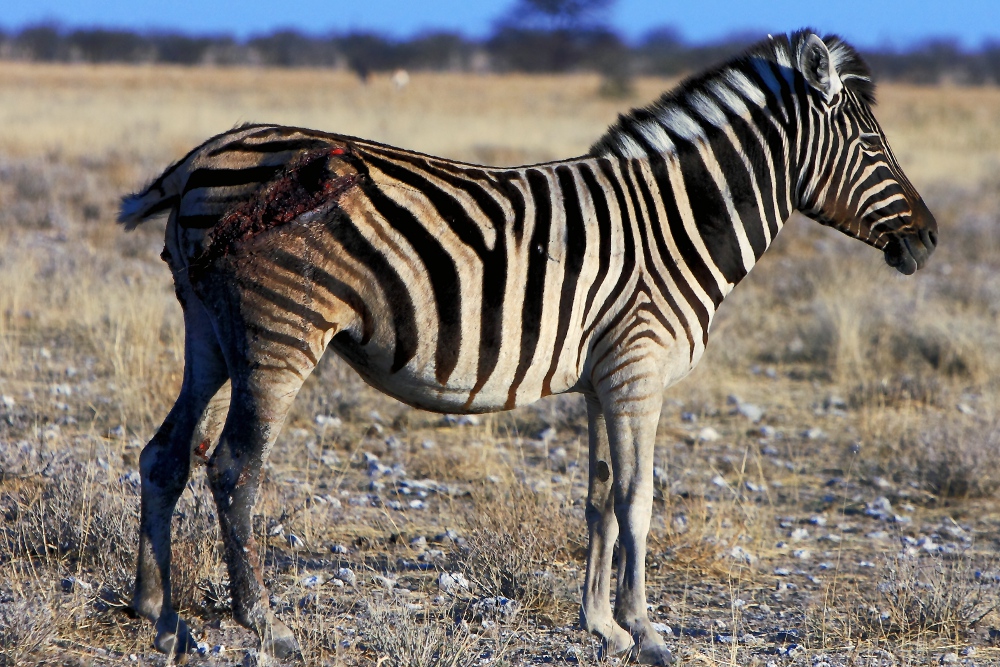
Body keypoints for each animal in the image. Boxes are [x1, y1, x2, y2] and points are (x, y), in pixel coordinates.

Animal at [119, 30, 936, 664]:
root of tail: (198, 158)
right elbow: (638, 500)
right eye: (873, 144)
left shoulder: (604, 377)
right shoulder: (639, 369)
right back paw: (266, 627)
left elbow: (599, 498)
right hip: (280, 330)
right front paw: (646, 631)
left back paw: (160, 618)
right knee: (234, 468)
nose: (928, 240)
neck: (677, 223)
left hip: (208, 330)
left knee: (165, 454)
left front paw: (602, 625)